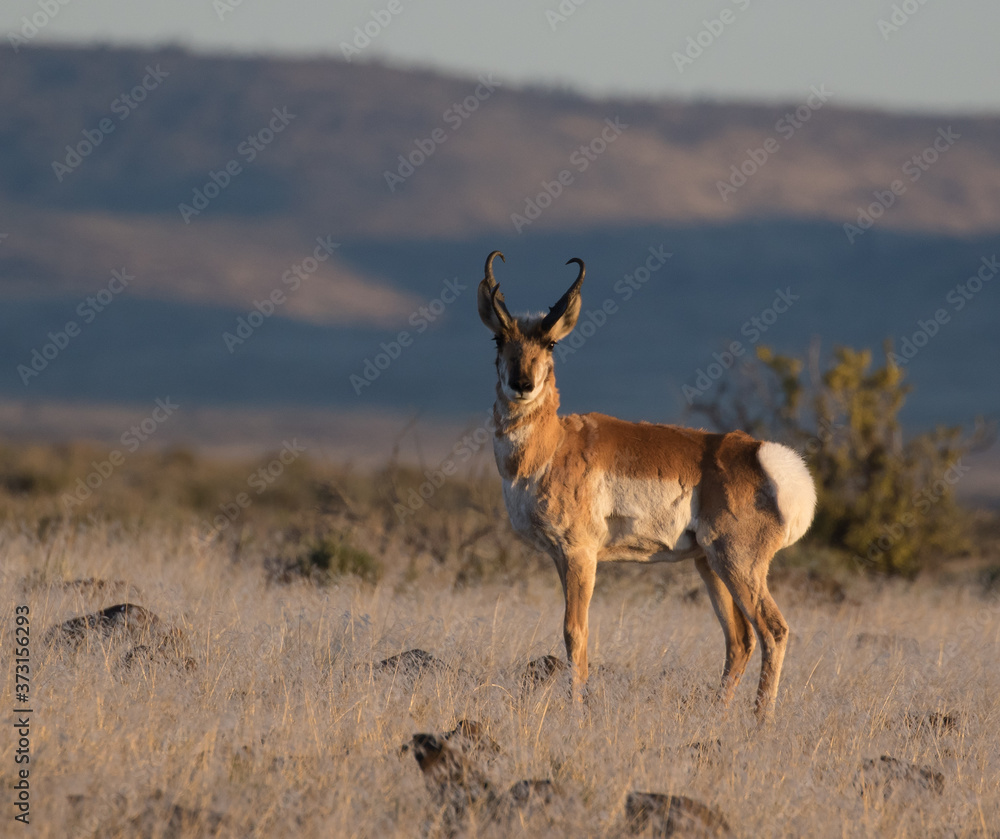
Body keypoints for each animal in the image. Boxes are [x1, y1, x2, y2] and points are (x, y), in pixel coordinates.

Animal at [477, 251, 816, 720]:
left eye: (551, 345)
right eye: (497, 340)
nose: (521, 384)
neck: (553, 445)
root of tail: (763, 455)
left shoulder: (580, 555)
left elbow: (575, 632)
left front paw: (577, 710)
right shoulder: (561, 558)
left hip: (739, 564)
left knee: (773, 631)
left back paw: (759, 720)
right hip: (709, 565)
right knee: (740, 640)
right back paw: (717, 715)